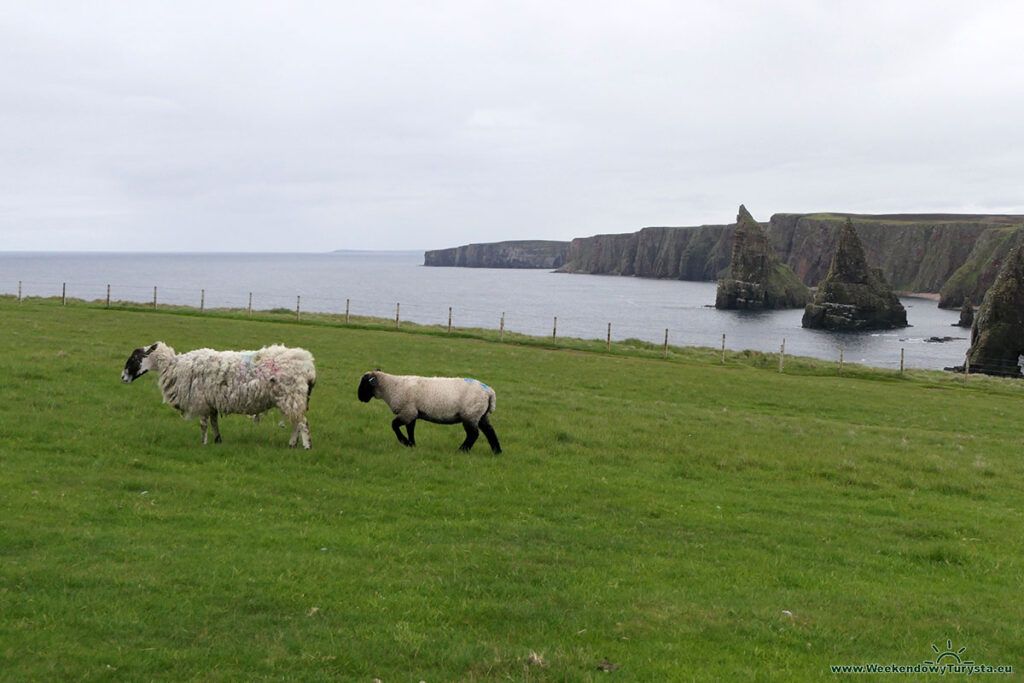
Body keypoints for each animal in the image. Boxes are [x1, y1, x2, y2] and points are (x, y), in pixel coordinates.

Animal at [119, 342, 313, 448]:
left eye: (135, 358)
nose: (123, 377)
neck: (173, 366)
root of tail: (308, 364)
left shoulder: (200, 401)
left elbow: (203, 424)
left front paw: (203, 443)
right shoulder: (210, 402)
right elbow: (213, 423)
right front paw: (217, 440)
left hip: (292, 395)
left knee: (302, 423)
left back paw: (305, 446)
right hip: (292, 398)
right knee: (296, 422)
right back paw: (292, 444)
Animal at [358, 368, 501, 454]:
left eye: (364, 383)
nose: (360, 398)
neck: (391, 387)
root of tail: (489, 392)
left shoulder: (408, 411)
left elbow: (394, 425)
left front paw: (404, 442)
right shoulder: (413, 412)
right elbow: (410, 429)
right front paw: (412, 444)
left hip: (470, 414)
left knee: (473, 434)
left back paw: (462, 450)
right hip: (481, 415)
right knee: (490, 431)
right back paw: (497, 451)